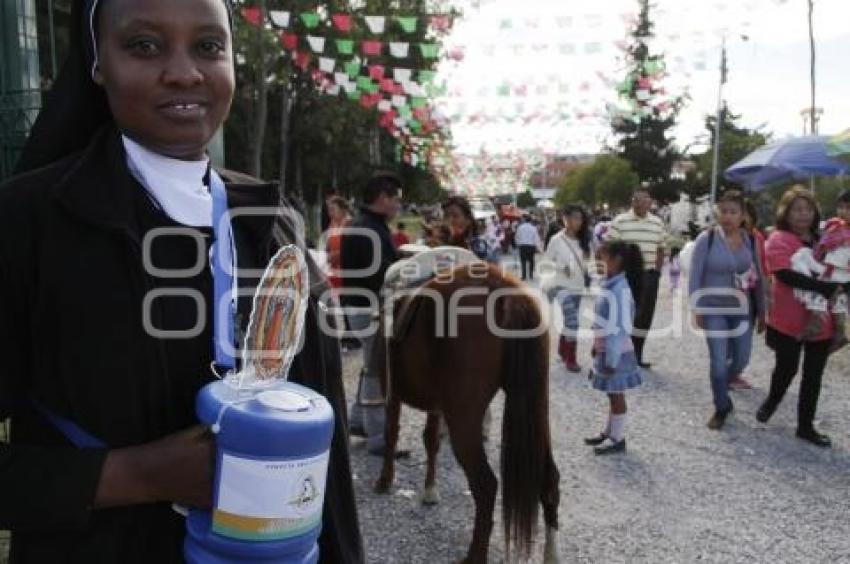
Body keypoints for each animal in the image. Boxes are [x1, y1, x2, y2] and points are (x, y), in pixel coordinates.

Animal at [372, 262, 560, 560]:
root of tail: (506, 292)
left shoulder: (391, 394)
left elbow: (392, 433)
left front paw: (385, 480)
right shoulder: (437, 405)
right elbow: (431, 440)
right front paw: (430, 490)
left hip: (463, 417)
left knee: (486, 485)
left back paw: (475, 555)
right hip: (536, 407)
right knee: (549, 480)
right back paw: (551, 554)